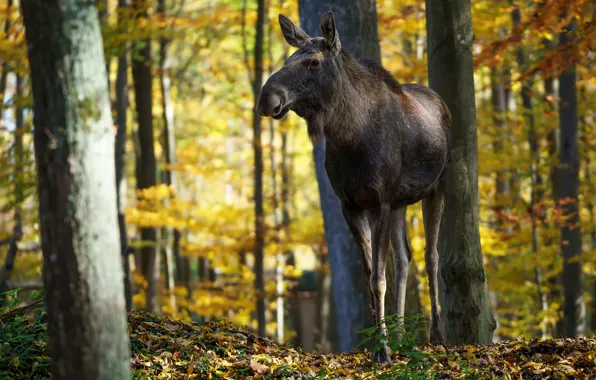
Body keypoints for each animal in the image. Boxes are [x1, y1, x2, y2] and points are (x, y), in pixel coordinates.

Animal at [258, 11, 452, 362]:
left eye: (313, 62)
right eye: (289, 58)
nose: (267, 98)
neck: (348, 139)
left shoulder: (378, 202)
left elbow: (378, 278)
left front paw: (383, 350)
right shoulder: (351, 205)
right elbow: (369, 276)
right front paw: (380, 343)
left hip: (437, 186)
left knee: (431, 257)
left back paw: (437, 335)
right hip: (400, 202)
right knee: (405, 259)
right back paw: (402, 336)